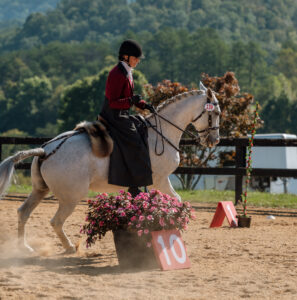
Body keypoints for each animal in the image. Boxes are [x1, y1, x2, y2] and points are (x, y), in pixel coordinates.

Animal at [0, 84, 220, 253]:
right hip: (70, 198)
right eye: (215, 113)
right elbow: (177, 200)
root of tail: (45, 151)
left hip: (40, 190)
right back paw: (70, 247)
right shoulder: (160, 180)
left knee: (23, 213)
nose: (214, 140)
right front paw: (176, 229)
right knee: (56, 222)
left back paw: (24, 248)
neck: (160, 132)